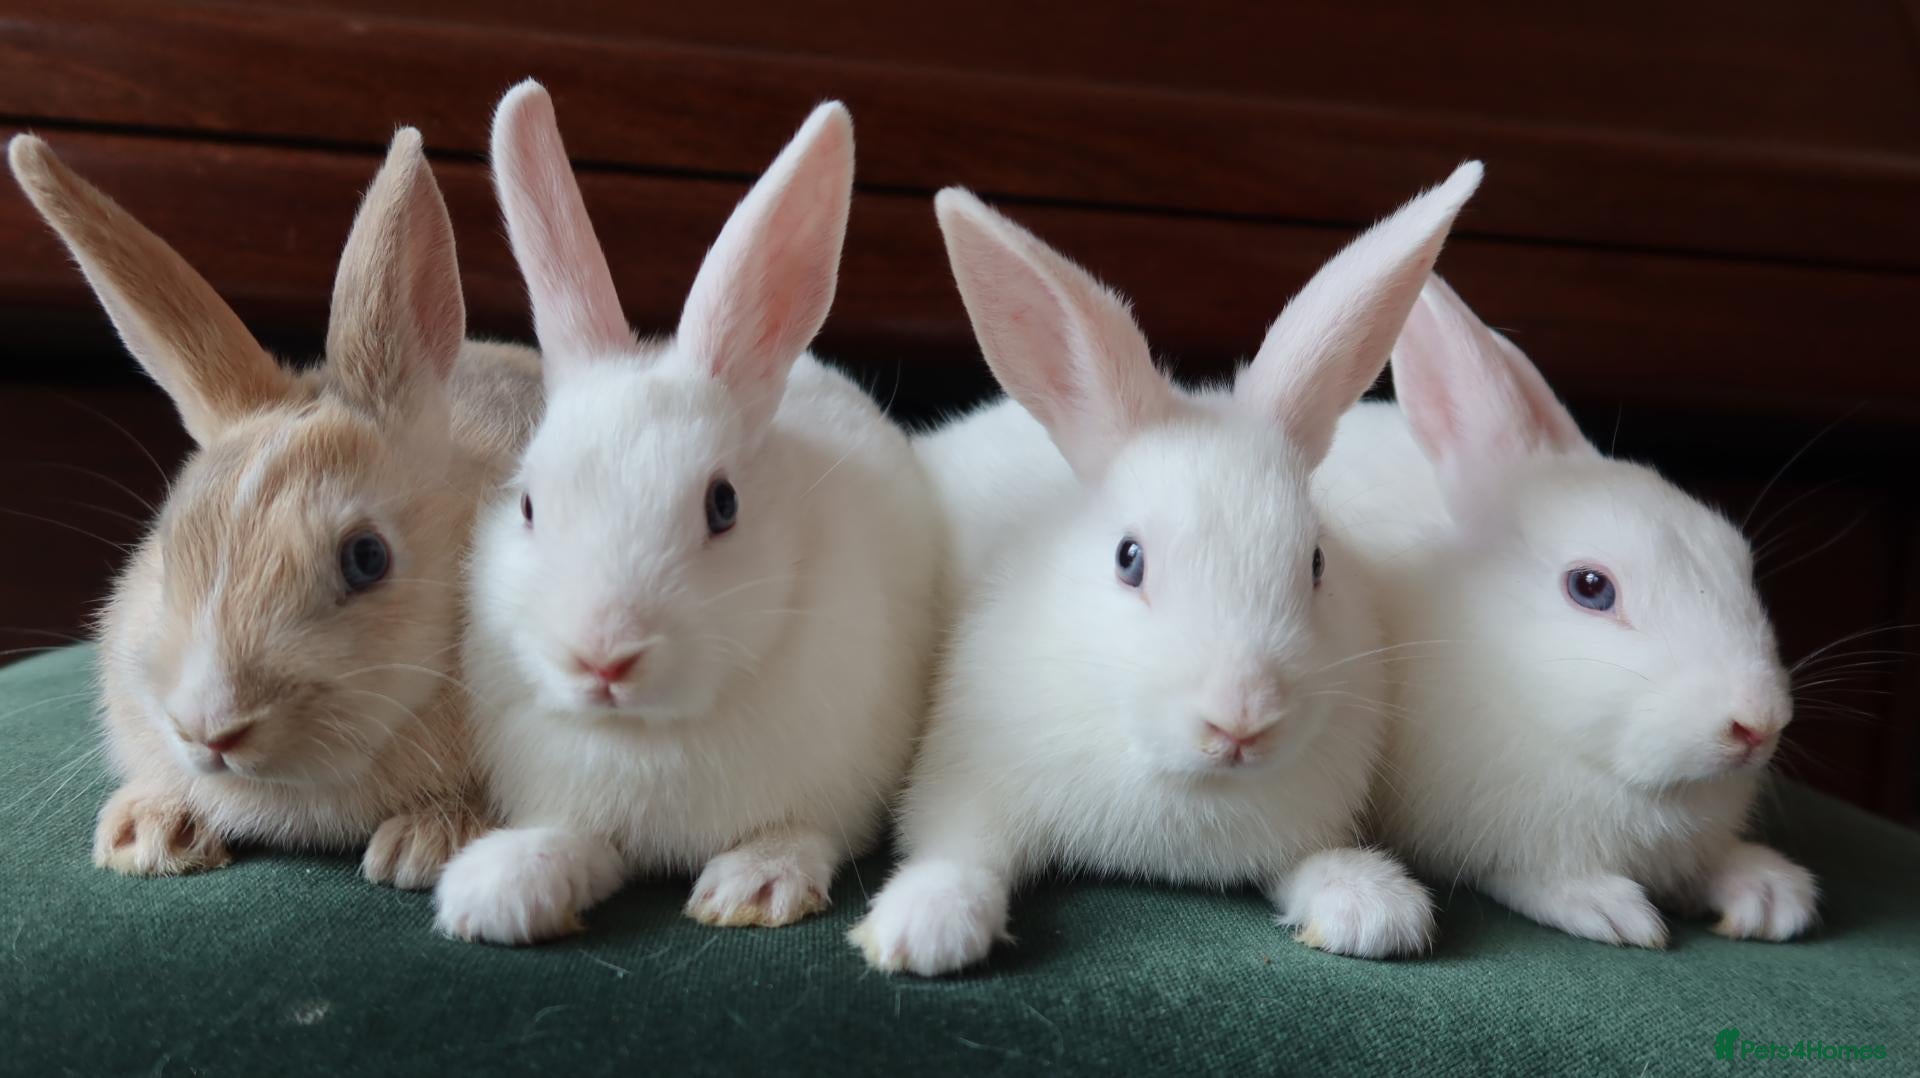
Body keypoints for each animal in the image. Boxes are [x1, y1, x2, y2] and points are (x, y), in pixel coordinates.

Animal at [432, 82, 941, 945]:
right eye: (528, 502)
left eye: (722, 504)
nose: (602, 658)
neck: (652, 731)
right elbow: (573, 838)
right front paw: (498, 888)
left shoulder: (837, 791)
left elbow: (803, 830)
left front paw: (756, 885)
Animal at [849, 162, 1484, 976]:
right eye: (1130, 560)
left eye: (1315, 561)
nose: (1242, 720)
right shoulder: (965, 778)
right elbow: (958, 846)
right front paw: (927, 926)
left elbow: (1311, 862)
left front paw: (1370, 906)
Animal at [1315, 275, 1816, 947]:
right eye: (1590, 587)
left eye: (1738, 559)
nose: (1757, 724)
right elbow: (1527, 873)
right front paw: (1609, 908)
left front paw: (1768, 893)